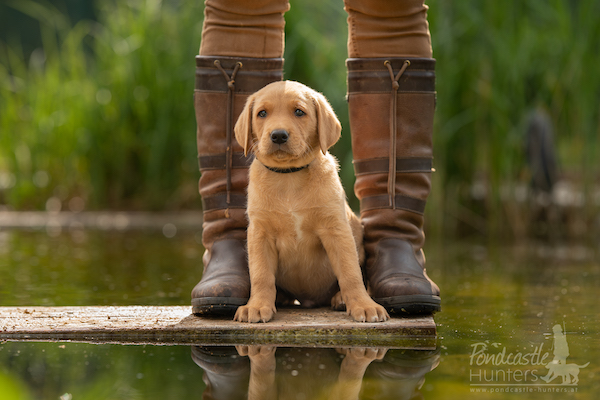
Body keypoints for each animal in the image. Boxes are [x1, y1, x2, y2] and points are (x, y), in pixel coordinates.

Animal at [230, 79, 390, 324]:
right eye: (262, 113)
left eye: (299, 112)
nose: (278, 135)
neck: (289, 178)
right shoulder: (260, 233)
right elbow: (261, 275)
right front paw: (256, 306)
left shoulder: (336, 230)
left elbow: (350, 273)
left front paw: (364, 305)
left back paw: (340, 299)